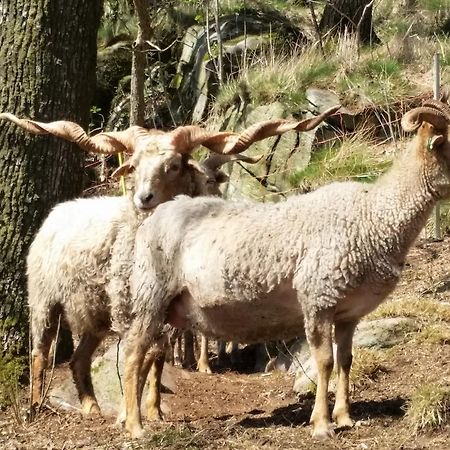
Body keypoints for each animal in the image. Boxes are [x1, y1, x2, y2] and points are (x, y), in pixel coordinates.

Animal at [0, 105, 338, 418]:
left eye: (173, 165)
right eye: (134, 166)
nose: (144, 198)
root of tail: (60, 210)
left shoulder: (163, 308)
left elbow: (157, 356)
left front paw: (153, 411)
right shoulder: (129, 306)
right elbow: (141, 355)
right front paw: (129, 413)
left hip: (95, 316)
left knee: (79, 358)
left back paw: (91, 406)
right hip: (44, 298)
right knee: (40, 351)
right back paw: (34, 407)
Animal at [117, 99, 450, 440]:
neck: (375, 215)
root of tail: (155, 214)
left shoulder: (348, 313)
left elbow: (345, 361)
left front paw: (345, 417)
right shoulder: (318, 298)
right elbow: (324, 361)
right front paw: (322, 424)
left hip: (168, 306)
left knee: (148, 354)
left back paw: (140, 415)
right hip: (150, 295)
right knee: (132, 355)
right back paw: (135, 426)